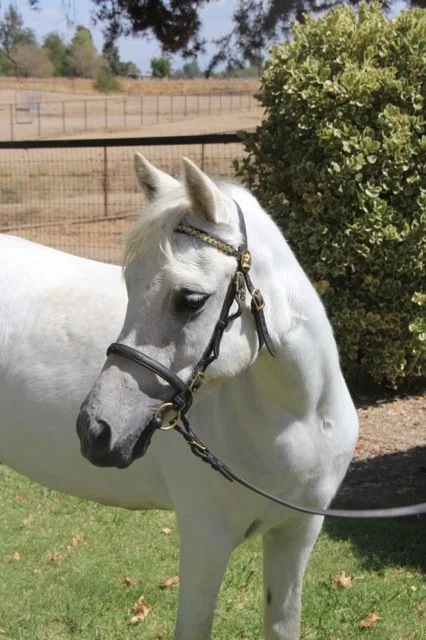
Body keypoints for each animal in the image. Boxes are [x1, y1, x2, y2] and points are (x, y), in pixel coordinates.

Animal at [0, 155, 359, 640]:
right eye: (129, 284)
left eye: (190, 299)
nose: (95, 430)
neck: (298, 419)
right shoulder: (206, 539)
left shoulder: (297, 533)